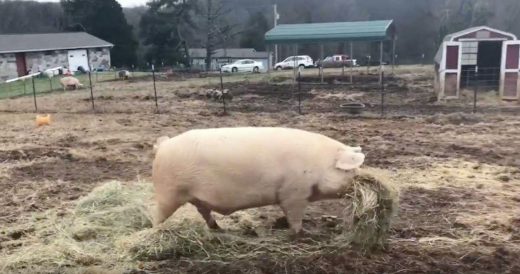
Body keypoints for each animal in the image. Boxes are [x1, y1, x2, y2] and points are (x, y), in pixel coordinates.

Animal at [151, 127, 366, 237]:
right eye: (352, 171)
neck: (318, 164)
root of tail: (163, 145)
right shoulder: (294, 193)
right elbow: (295, 217)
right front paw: (300, 233)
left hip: (195, 197)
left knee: (204, 211)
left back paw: (218, 229)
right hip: (167, 193)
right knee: (156, 217)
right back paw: (156, 233)